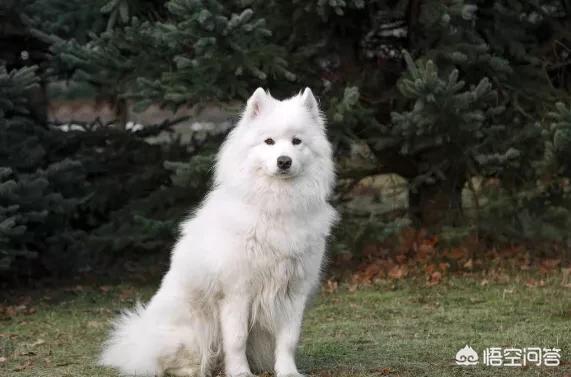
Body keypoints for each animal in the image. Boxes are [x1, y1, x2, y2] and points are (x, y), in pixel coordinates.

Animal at [100, 87, 338, 376]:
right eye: (269, 141)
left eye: (296, 141)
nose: (284, 161)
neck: (276, 205)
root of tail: (138, 341)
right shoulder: (237, 292)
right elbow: (236, 339)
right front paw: (239, 372)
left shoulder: (294, 291)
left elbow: (288, 340)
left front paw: (288, 371)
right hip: (192, 327)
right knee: (175, 361)